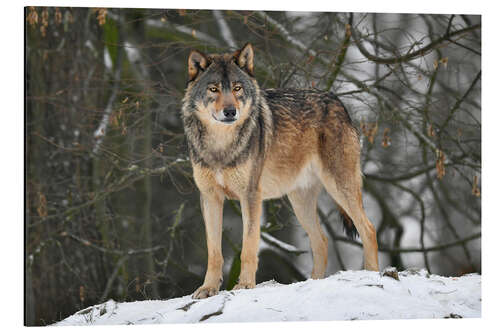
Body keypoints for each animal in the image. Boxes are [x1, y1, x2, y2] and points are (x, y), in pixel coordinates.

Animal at [182, 42, 380, 298]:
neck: (221, 147)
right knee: (322, 240)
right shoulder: (209, 197)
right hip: (300, 202)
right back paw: (313, 283)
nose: (230, 112)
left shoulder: (250, 196)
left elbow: (249, 246)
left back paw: (372, 275)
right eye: (213, 89)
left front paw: (245, 285)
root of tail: (337, 101)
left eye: (237, 88)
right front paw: (208, 288)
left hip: (339, 187)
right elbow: (214, 252)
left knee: (368, 229)